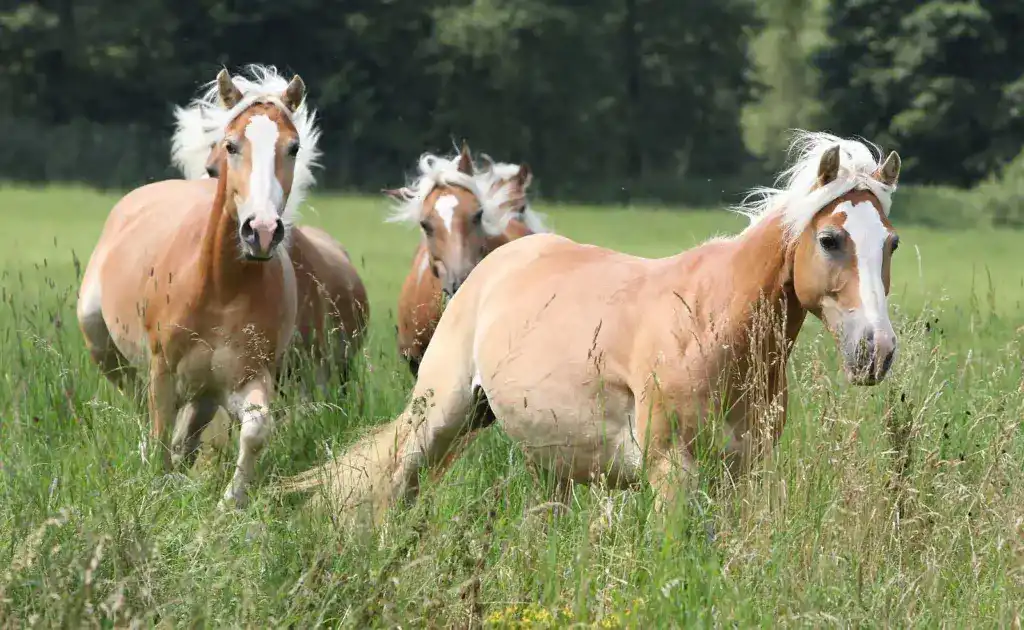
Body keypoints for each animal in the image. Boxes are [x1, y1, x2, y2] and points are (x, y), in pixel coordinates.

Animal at [77, 65, 319, 508]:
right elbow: (157, 432)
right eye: (232, 145)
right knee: (139, 406)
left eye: (293, 147)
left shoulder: (246, 378)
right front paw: (156, 489)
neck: (221, 287)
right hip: (102, 343)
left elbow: (256, 429)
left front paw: (230, 501)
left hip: (204, 393)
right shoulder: (161, 370)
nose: (261, 232)